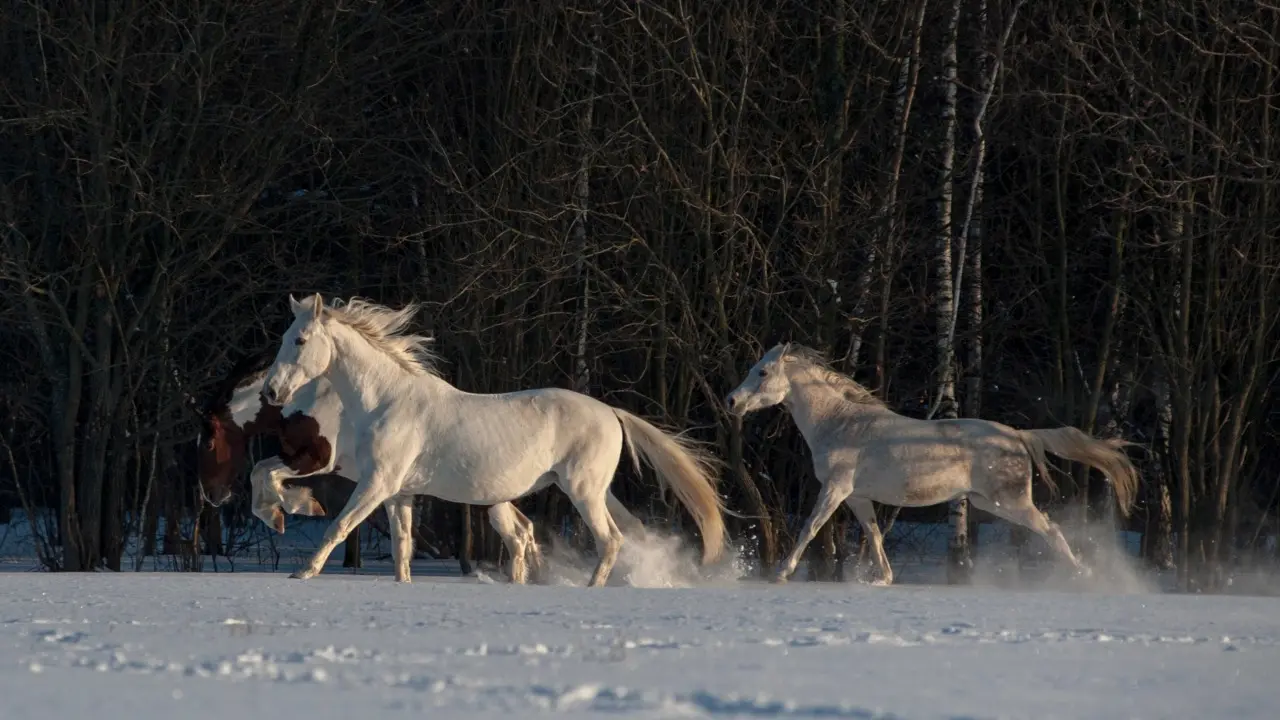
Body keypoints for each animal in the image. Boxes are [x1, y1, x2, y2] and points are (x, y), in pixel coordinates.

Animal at [194, 353, 550, 583]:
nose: (211, 495)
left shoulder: (318, 459)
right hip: (491, 497)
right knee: (520, 533)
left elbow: (262, 473)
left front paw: (294, 509)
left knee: (518, 535)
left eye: (208, 443)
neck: (304, 399)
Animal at [260, 293, 728, 586]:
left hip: (582, 491)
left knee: (610, 540)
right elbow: (402, 549)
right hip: (591, 490)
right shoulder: (399, 493)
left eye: (300, 340)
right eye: (282, 338)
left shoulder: (376, 484)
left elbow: (337, 526)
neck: (386, 401)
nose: (270, 393)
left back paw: (591, 589)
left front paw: (302, 568)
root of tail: (611, 413)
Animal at [724, 343, 1140, 585]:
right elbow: (874, 534)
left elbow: (810, 528)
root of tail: (1019, 435)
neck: (840, 423)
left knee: (1051, 530)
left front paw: (782, 572)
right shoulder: (856, 497)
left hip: (1010, 501)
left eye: (762, 372)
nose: (731, 401)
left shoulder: (835, 489)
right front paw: (883, 578)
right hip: (992, 502)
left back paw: (1082, 574)